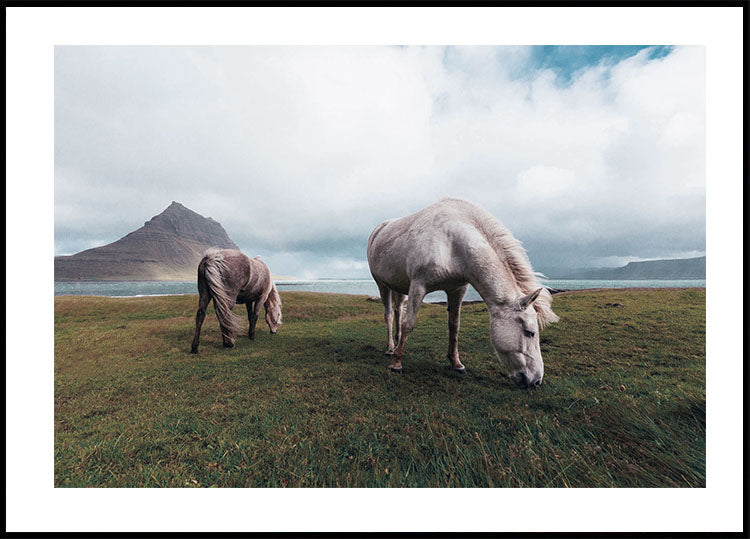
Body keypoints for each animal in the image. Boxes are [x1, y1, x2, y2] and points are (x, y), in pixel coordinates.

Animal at [366, 198, 558, 387]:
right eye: (529, 332)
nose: (536, 380)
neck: (452, 243)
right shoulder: (418, 287)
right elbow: (409, 324)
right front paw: (396, 364)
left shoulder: (457, 290)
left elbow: (454, 326)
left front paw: (456, 364)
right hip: (382, 284)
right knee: (390, 315)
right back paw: (391, 349)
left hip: (399, 288)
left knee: (398, 311)